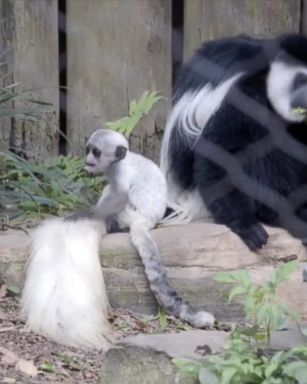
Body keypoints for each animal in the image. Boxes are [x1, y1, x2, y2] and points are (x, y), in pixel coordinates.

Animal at [21, 130, 215, 352]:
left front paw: (83, 214)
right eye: (89, 150)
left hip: (127, 214)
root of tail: (145, 220)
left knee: (112, 194)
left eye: (96, 152)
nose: (88, 160)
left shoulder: (119, 172)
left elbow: (120, 194)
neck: (123, 159)